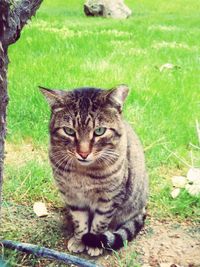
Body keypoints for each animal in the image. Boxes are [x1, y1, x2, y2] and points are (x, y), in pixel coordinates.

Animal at [39, 85, 148, 258]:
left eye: (99, 131)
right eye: (69, 131)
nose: (83, 153)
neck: (83, 173)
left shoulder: (109, 198)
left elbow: (99, 223)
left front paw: (94, 242)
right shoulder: (73, 197)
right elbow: (80, 222)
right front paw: (79, 240)